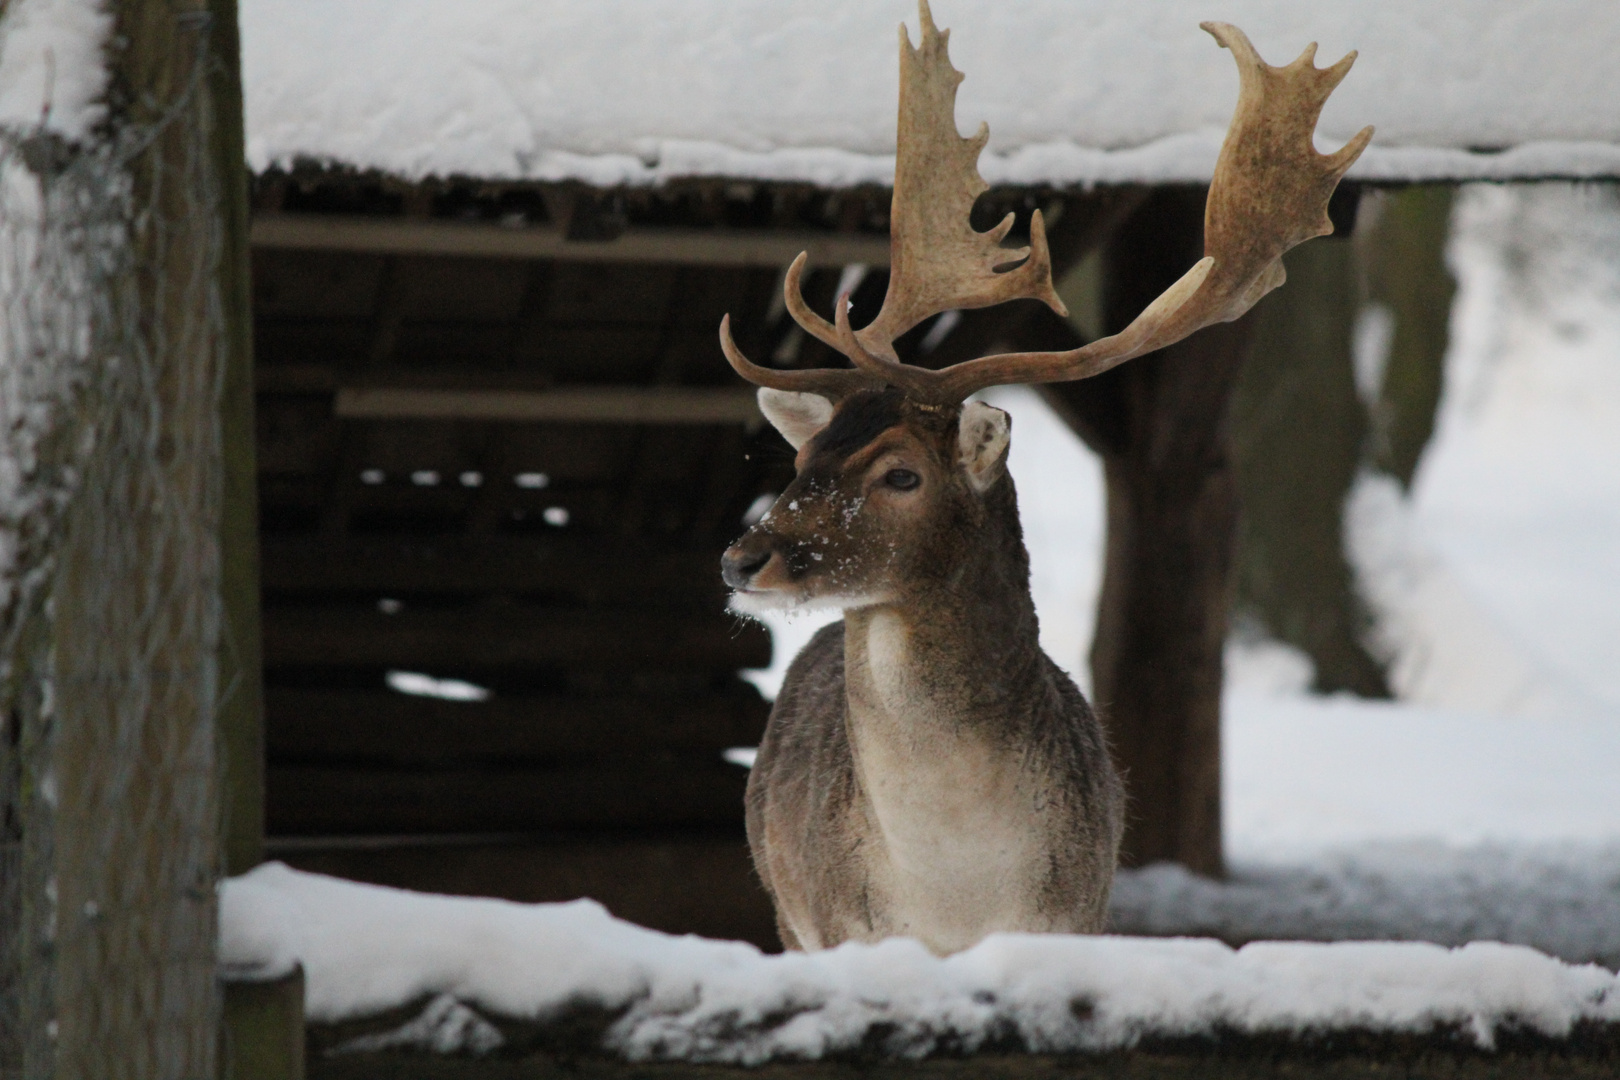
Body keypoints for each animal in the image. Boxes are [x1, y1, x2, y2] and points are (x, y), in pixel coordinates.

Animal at [719, 6, 1367, 952]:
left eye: (903, 475)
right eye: (805, 459)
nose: (742, 557)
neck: (952, 895)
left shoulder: (1075, 919)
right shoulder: (842, 933)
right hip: (785, 914)